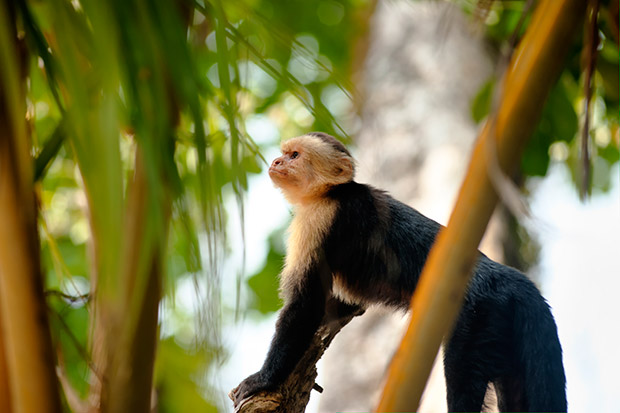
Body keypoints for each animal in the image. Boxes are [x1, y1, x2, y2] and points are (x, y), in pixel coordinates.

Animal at [232, 133, 568, 412]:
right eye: (283, 153)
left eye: (295, 155)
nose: (276, 162)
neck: (330, 193)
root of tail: (512, 278)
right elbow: (339, 306)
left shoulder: (319, 218)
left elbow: (306, 305)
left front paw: (263, 379)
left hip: (479, 314)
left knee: (461, 372)